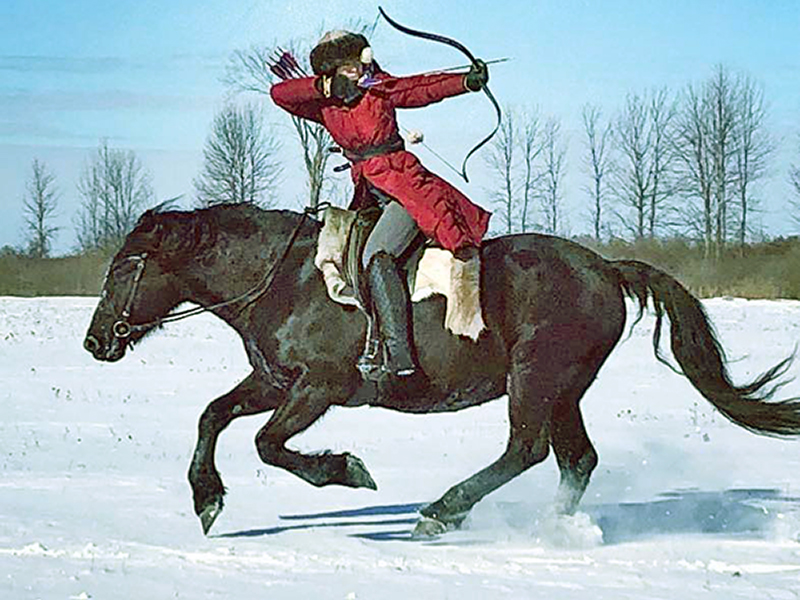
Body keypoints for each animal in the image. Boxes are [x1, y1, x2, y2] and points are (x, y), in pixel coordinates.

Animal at [83, 203, 800, 536]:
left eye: (124, 268)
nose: (94, 342)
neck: (284, 280)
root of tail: (604, 268)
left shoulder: (319, 387)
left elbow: (267, 444)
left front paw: (347, 470)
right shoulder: (274, 381)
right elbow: (213, 416)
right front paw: (206, 499)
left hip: (537, 377)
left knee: (526, 449)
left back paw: (442, 511)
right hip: (563, 388)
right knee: (575, 459)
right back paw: (549, 529)